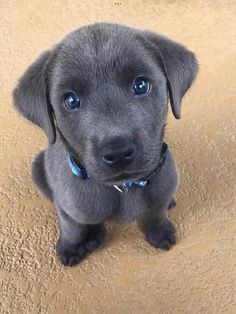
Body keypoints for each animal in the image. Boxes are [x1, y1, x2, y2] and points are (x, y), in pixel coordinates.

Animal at [12, 23, 197, 266]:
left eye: (141, 85)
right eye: (71, 100)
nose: (118, 152)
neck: (124, 188)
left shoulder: (161, 189)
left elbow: (155, 215)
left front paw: (160, 233)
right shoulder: (69, 206)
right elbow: (73, 228)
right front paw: (70, 247)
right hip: (38, 168)